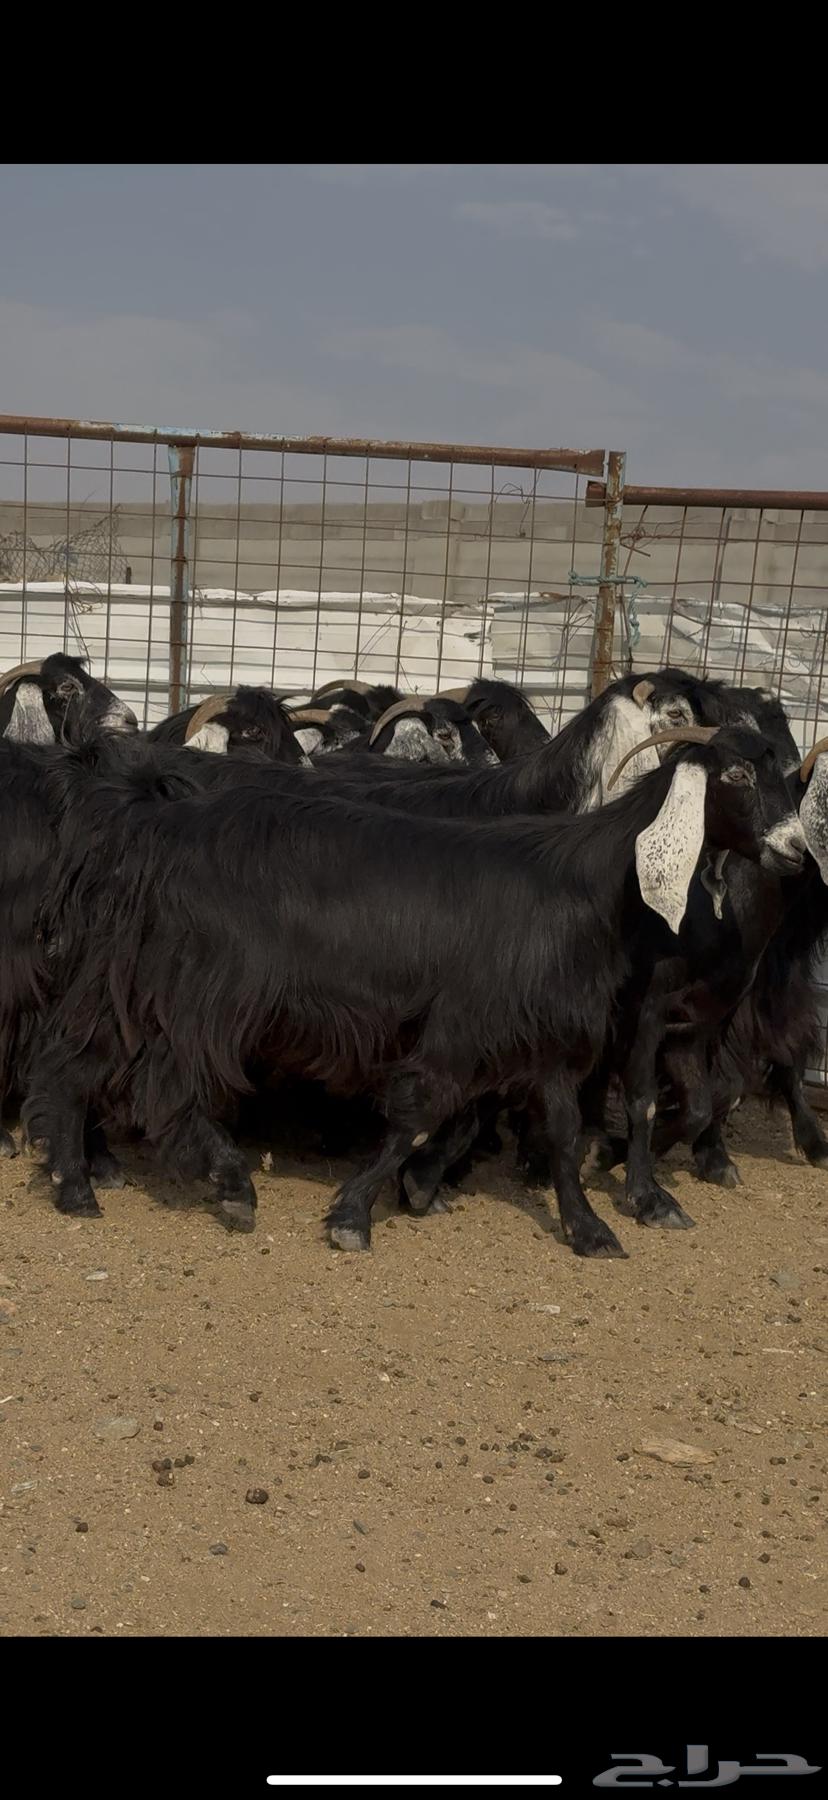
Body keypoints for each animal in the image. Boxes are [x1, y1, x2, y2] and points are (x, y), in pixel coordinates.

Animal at [22, 724, 814, 1262]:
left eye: (787, 775)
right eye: (736, 772)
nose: (794, 853)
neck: (587, 885)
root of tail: (148, 824)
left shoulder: (550, 1040)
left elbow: (559, 1135)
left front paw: (590, 1227)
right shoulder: (461, 1026)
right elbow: (420, 1117)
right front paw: (354, 1215)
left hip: (138, 988)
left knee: (76, 1067)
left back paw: (76, 1182)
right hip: (196, 992)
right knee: (159, 1084)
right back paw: (218, 1184)